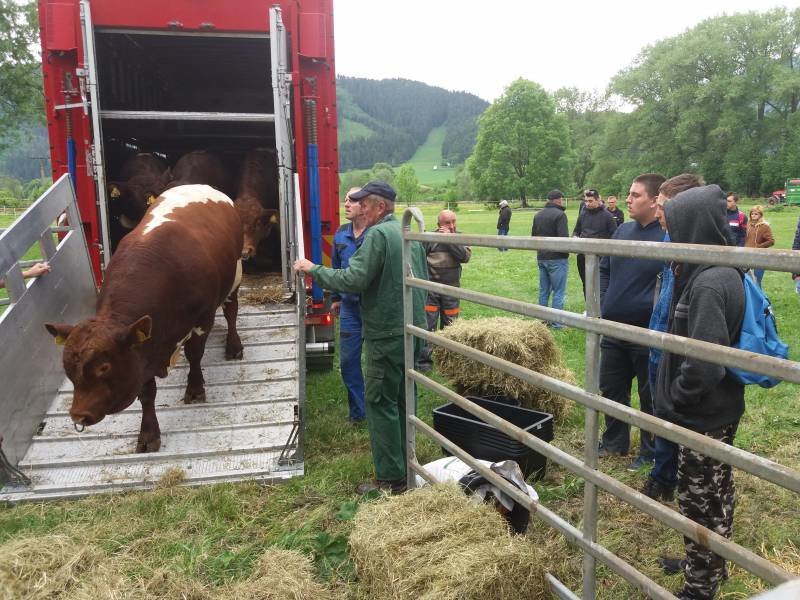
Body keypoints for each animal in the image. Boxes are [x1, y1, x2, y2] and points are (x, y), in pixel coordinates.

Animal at [45, 184, 244, 453]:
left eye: (104, 367)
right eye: (67, 367)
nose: (78, 415)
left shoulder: (202, 319)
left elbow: (195, 354)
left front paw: (195, 388)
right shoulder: (142, 347)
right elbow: (147, 392)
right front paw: (148, 433)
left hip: (236, 275)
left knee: (232, 311)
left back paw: (234, 345)